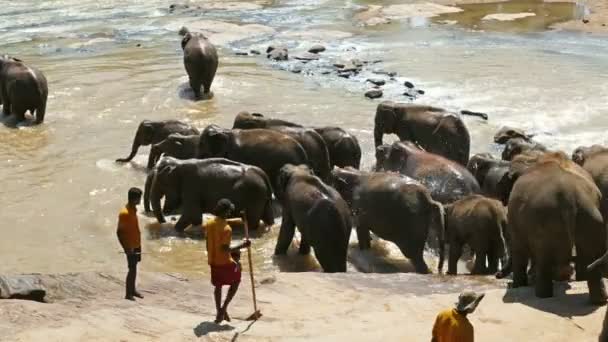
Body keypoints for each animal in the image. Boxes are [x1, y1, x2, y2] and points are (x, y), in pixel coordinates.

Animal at [506, 152, 604, 304]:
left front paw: (517, 285)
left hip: (544, 220)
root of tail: (569, 196)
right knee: (592, 255)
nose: (505, 281)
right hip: (590, 216)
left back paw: (542, 295)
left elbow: (518, 249)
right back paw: (598, 299)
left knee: (543, 257)